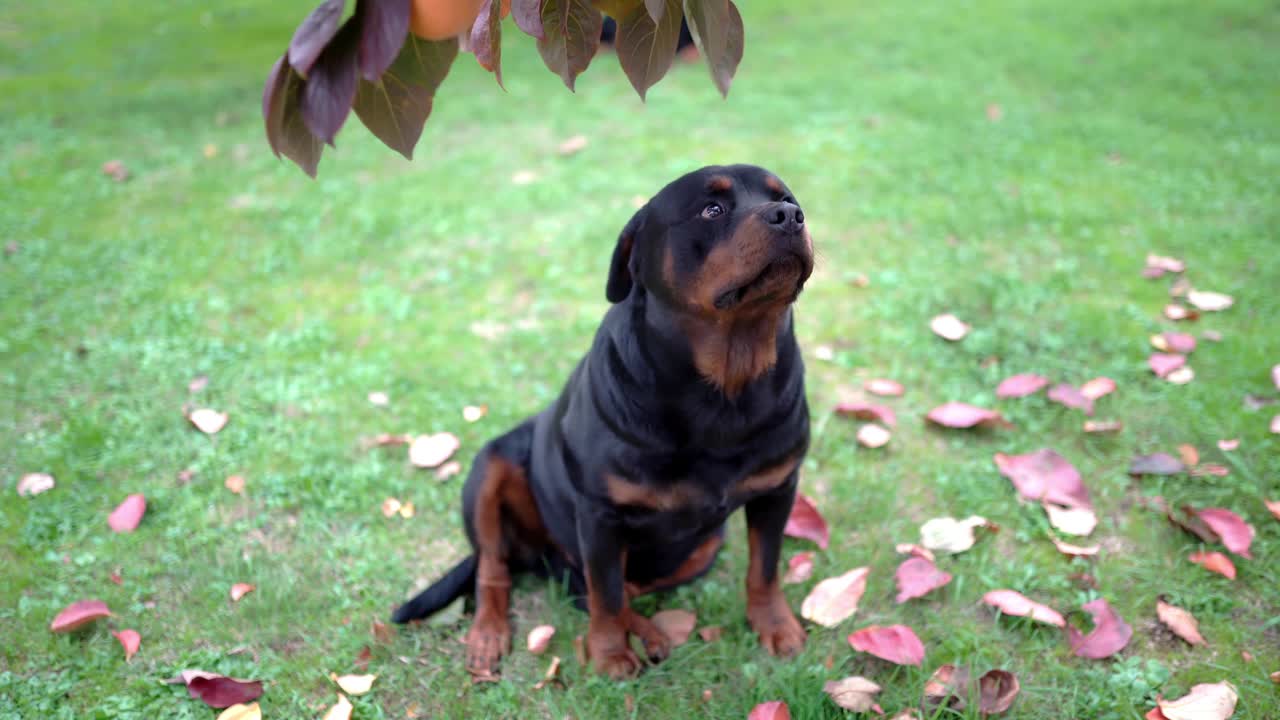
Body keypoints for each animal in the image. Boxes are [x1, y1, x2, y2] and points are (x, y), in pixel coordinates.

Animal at [389, 162, 814, 676]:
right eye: (712, 209)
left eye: (787, 198)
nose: (788, 215)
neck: (725, 386)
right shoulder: (600, 515)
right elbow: (606, 594)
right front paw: (610, 654)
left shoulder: (778, 489)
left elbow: (764, 568)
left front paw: (774, 625)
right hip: (490, 467)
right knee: (500, 567)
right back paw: (489, 634)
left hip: (704, 547)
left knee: (601, 586)